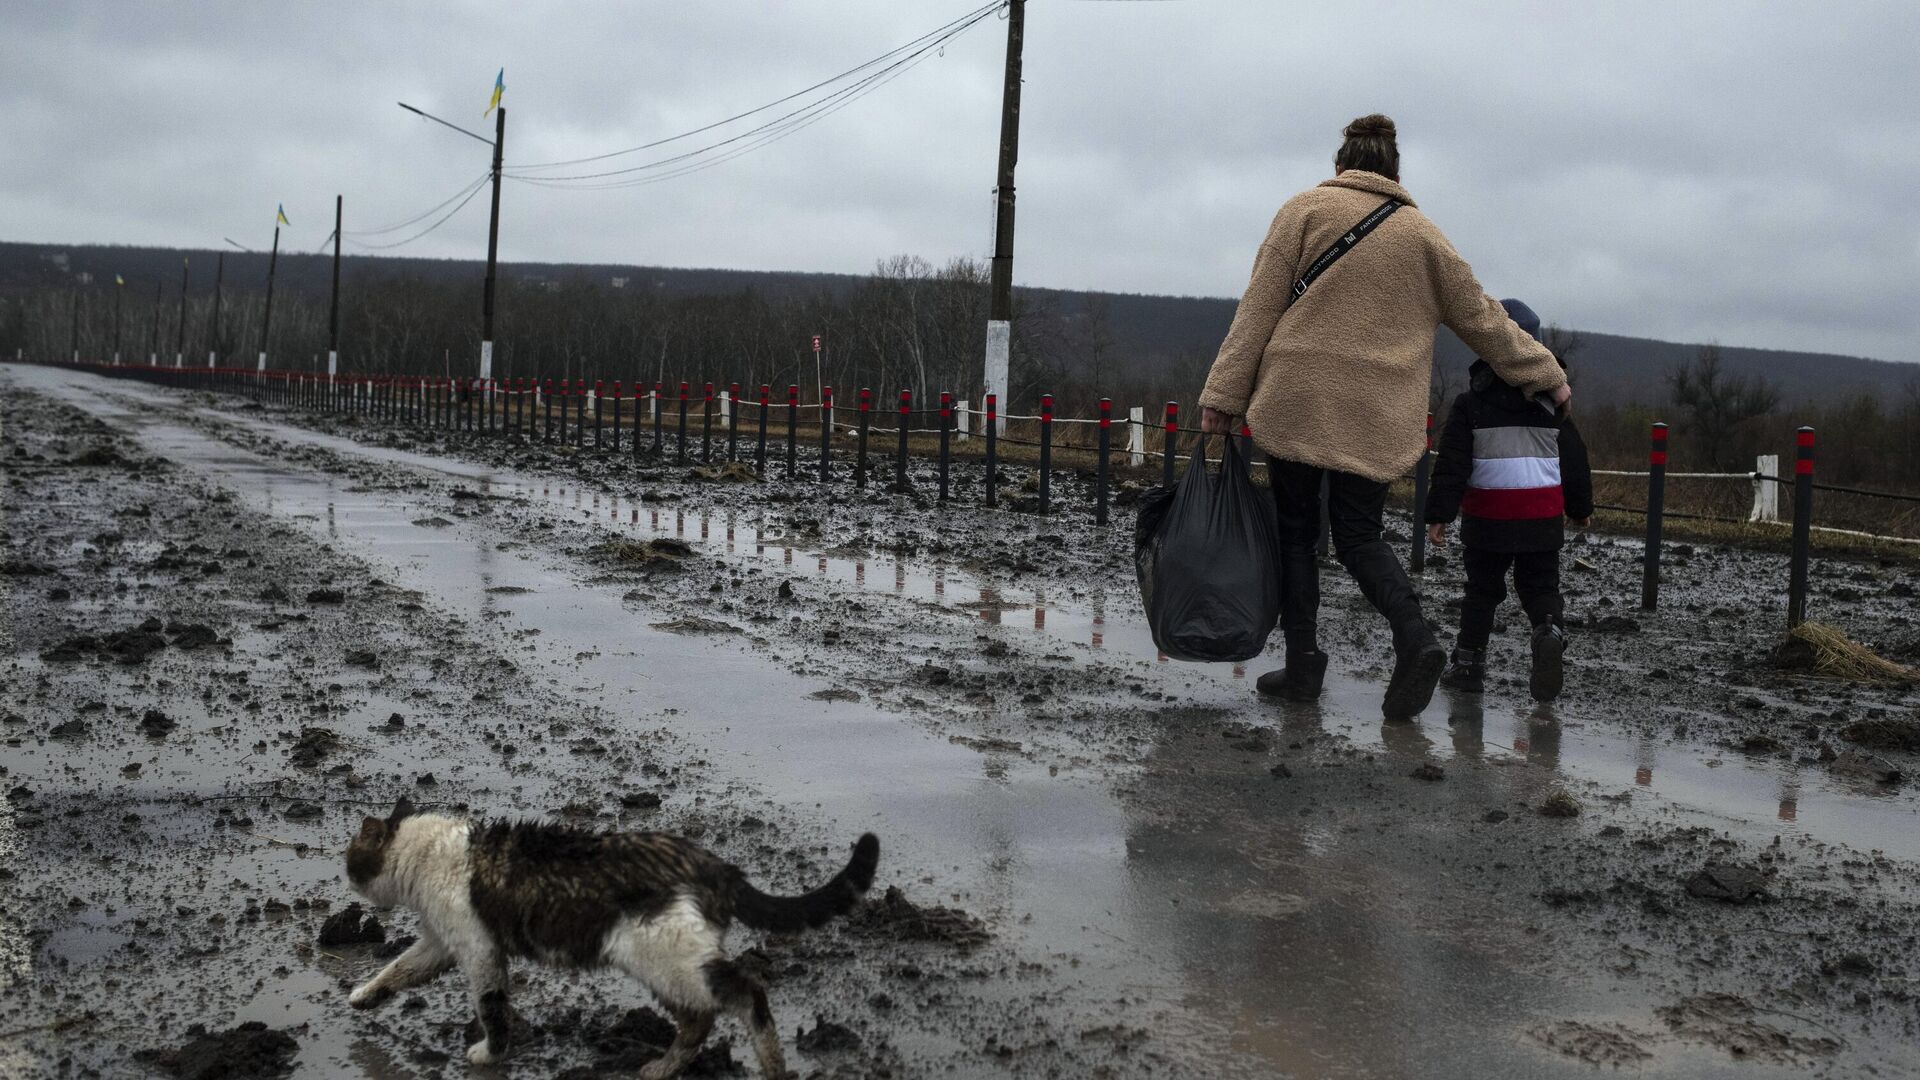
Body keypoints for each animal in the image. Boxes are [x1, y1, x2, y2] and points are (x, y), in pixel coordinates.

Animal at [347, 795, 883, 1068]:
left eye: (352, 856)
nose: (347, 876)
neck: (428, 852)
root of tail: (716, 866)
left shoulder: (479, 950)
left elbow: (492, 1007)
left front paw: (489, 1052)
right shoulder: (441, 943)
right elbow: (399, 969)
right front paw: (364, 996)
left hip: (660, 956)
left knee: (739, 997)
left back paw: (754, 1065)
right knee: (705, 1015)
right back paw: (668, 1067)